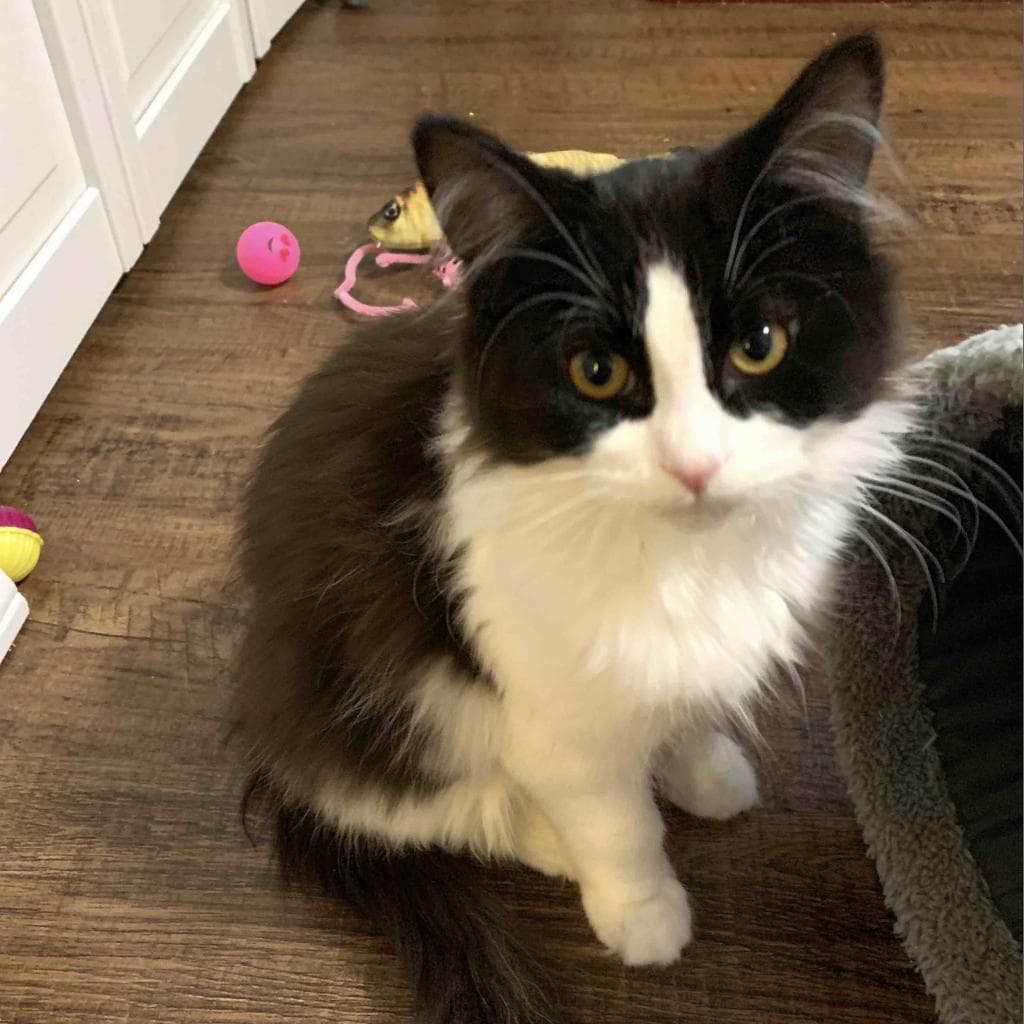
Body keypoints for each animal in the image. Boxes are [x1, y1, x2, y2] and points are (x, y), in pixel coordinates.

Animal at [235, 32, 909, 1024]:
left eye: (759, 345)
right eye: (596, 372)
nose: (695, 465)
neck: (682, 562)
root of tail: (272, 752)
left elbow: (684, 708)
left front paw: (704, 772)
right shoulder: (549, 705)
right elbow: (614, 819)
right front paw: (645, 913)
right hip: (391, 714)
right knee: (429, 812)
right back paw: (546, 842)